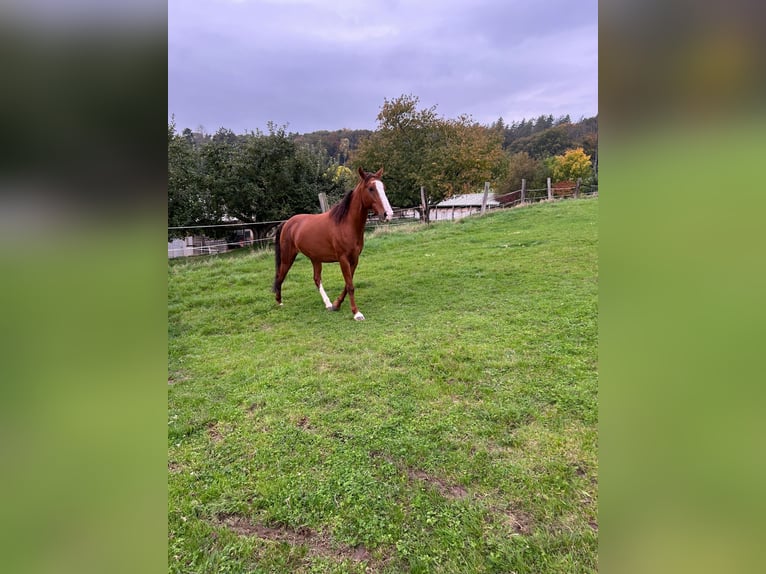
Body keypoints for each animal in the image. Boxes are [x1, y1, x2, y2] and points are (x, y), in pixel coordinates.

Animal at [272, 166, 392, 322]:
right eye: (371, 188)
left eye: (383, 187)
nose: (388, 214)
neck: (345, 224)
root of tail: (287, 223)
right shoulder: (343, 259)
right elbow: (350, 285)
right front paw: (357, 313)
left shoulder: (354, 259)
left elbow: (347, 284)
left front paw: (336, 304)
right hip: (288, 257)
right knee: (280, 275)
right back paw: (279, 302)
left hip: (315, 259)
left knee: (317, 279)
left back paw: (328, 304)